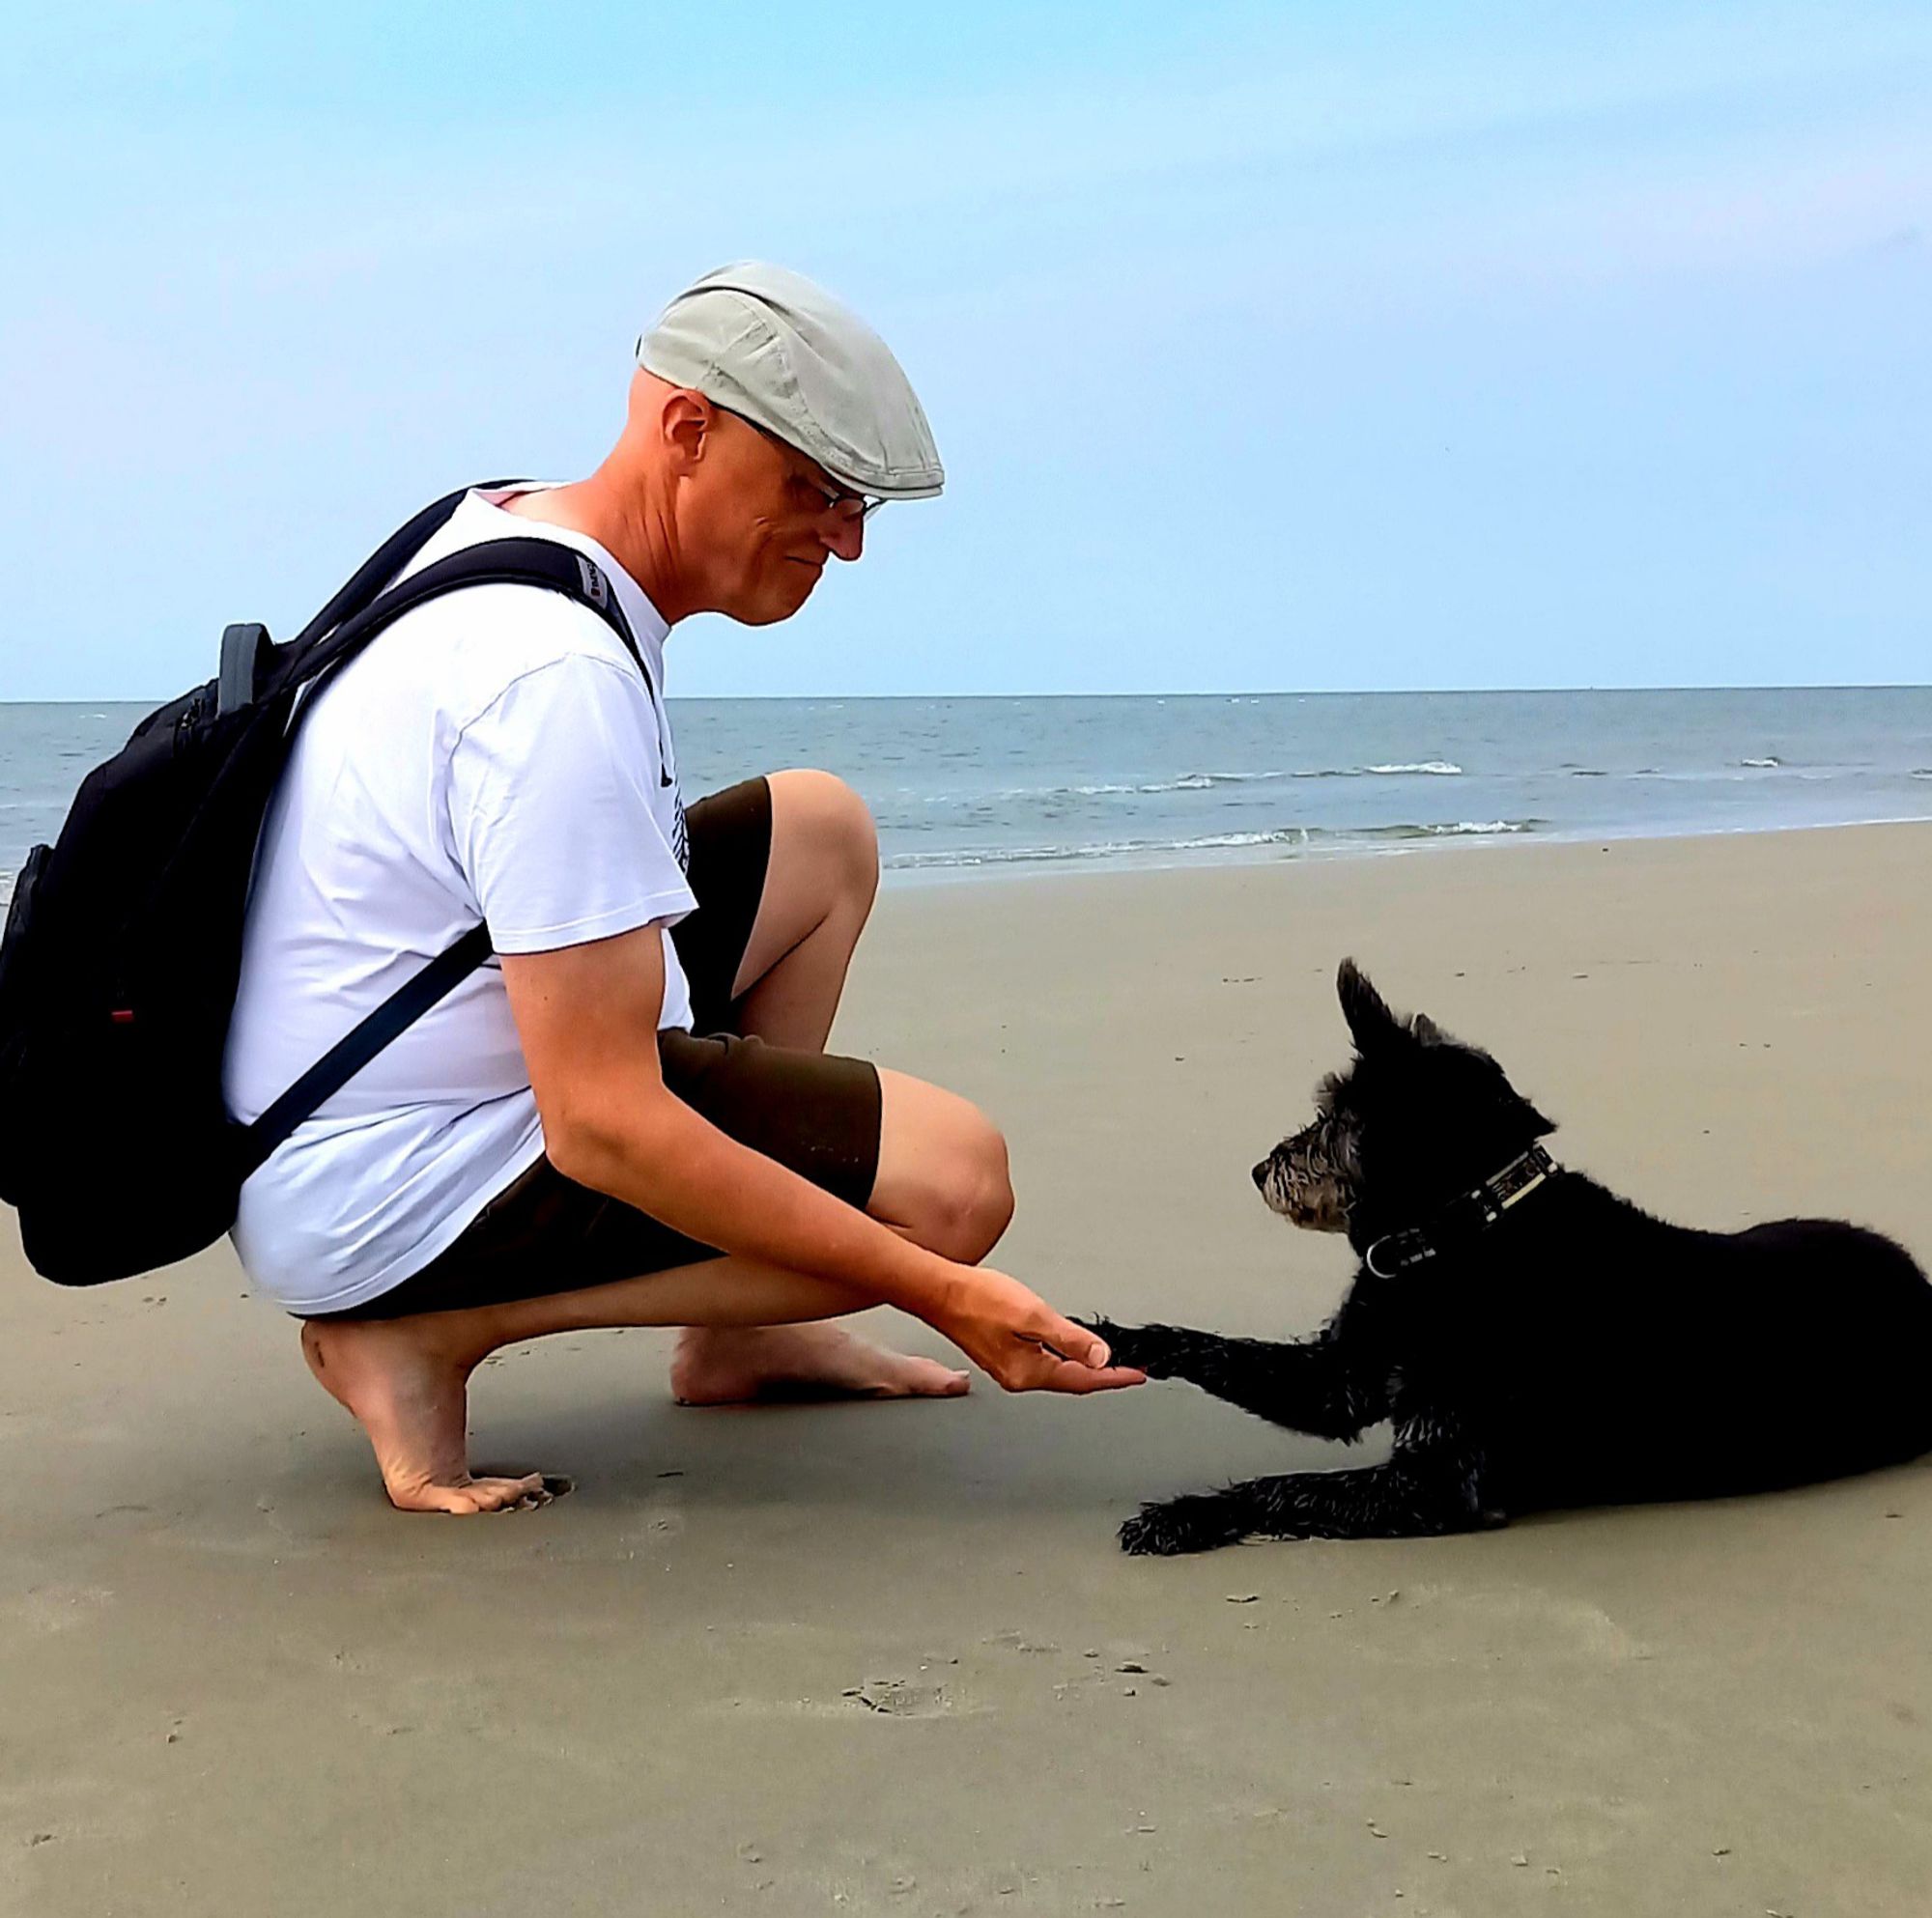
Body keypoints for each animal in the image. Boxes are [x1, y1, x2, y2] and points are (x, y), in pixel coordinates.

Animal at [1090, 958, 1932, 1561]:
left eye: (1332, 1114)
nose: (1260, 1170)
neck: (1464, 1234)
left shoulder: (1436, 1481)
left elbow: (1285, 1486)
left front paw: (1185, 1514)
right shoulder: (1340, 1381)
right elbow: (1213, 1349)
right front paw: (1109, 1340)